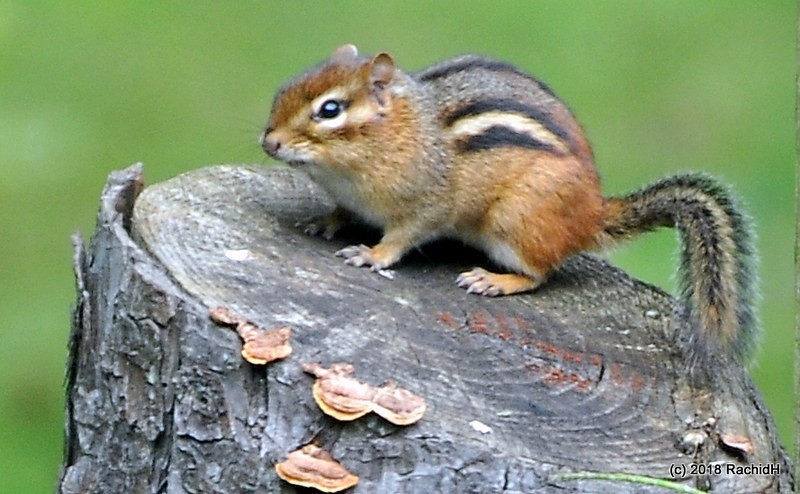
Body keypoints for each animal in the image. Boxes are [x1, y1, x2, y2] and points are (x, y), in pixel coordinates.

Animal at [260, 44, 758, 370]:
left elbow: (403, 237)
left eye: (330, 110)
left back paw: (494, 280)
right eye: (284, 89)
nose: (270, 141)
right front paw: (324, 221)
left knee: (540, 273)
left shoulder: (427, 203)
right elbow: (342, 212)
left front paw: (371, 254)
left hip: (513, 223)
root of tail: (593, 213)